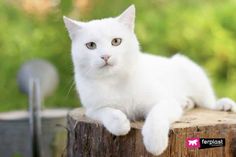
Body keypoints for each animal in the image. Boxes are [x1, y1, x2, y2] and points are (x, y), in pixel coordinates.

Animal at [63, 4, 236, 156]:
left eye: (116, 41)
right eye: (91, 45)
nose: (105, 56)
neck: (115, 80)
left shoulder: (166, 102)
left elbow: (156, 115)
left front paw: (155, 142)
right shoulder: (92, 110)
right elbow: (108, 112)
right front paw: (121, 124)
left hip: (193, 73)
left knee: (207, 101)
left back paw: (223, 105)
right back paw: (186, 103)